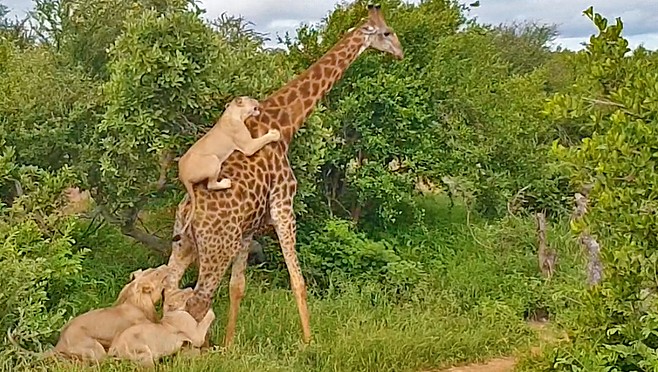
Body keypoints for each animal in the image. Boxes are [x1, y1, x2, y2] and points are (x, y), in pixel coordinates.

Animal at [10, 264, 169, 364]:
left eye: (152, 269)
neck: (138, 301)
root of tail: (59, 344)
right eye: (156, 273)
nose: (165, 266)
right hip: (96, 349)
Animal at [167, 2, 402, 348]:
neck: (285, 120)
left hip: (184, 245)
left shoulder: (248, 229)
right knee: (197, 300)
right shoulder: (283, 205)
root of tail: (189, 210)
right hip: (216, 248)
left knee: (170, 290)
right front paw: (309, 343)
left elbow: (238, 287)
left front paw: (230, 345)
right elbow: (297, 279)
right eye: (387, 33)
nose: (401, 52)